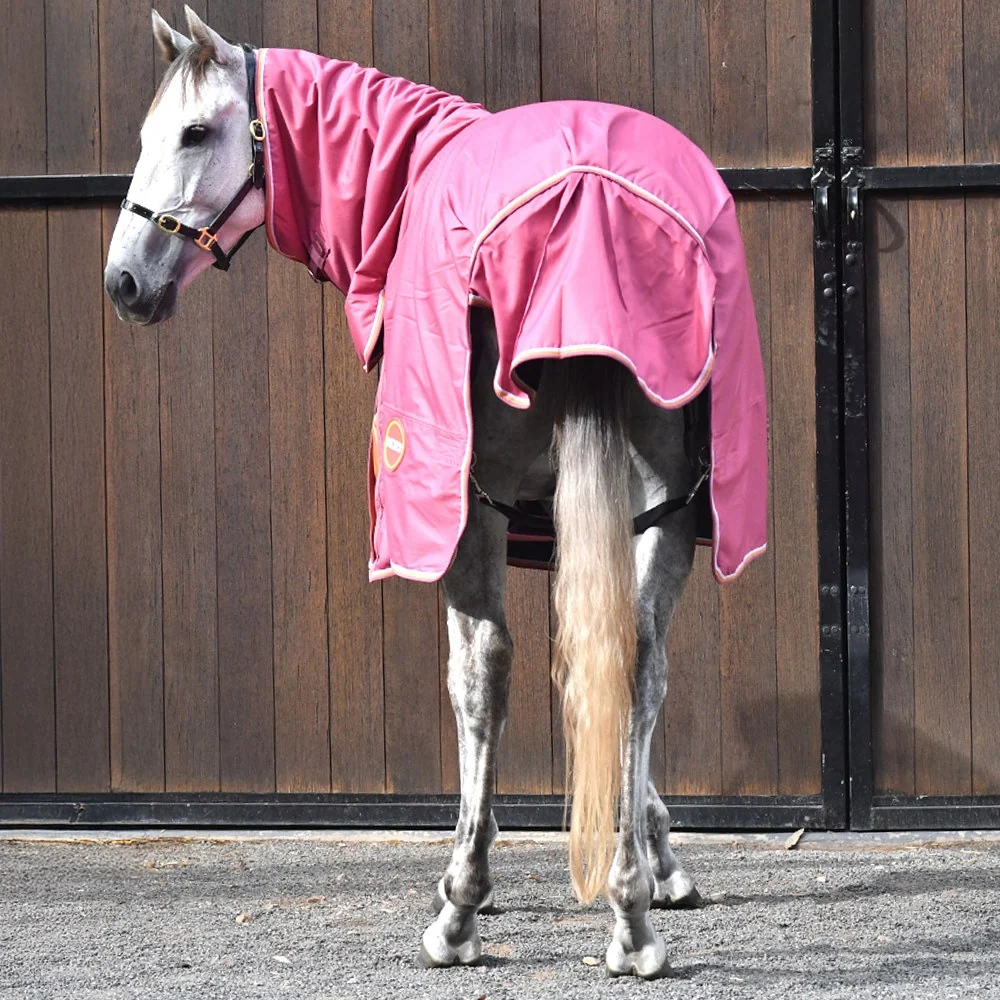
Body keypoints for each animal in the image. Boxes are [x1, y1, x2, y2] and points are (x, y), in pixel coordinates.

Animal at [104, 6, 768, 980]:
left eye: (193, 133)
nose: (124, 281)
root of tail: (590, 206)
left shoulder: (459, 513)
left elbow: (470, 679)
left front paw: (476, 871)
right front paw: (658, 863)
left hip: (471, 508)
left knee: (487, 672)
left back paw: (461, 911)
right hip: (673, 508)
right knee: (639, 662)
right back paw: (632, 919)